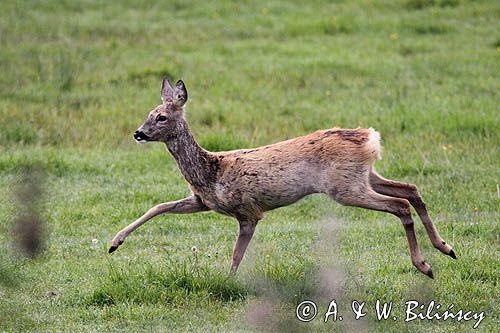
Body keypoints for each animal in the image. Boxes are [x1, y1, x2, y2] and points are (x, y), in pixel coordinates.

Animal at [109, 77, 458, 278]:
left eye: (161, 117)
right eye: (148, 114)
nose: (138, 133)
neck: (211, 170)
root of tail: (369, 137)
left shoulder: (248, 211)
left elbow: (236, 256)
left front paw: (228, 284)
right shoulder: (202, 202)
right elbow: (159, 206)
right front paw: (114, 243)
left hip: (344, 187)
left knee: (400, 204)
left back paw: (425, 266)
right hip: (364, 176)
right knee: (411, 189)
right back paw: (446, 248)